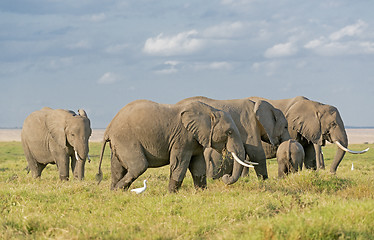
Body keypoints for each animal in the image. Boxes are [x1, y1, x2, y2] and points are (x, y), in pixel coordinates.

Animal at [96, 100, 248, 193]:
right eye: (229, 132)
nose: (226, 177)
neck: (210, 110)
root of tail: (108, 128)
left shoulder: (196, 139)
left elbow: (198, 165)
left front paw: (202, 192)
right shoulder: (182, 137)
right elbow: (179, 164)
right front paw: (171, 194)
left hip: (119, 144)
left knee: (117, 169)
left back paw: (113, 192)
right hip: (126, 140)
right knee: (139, 166)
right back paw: (118, 190)